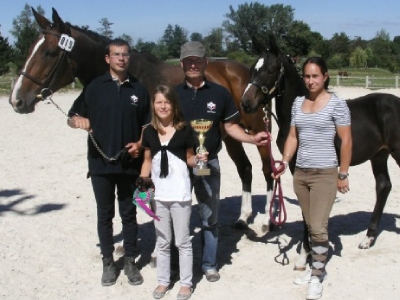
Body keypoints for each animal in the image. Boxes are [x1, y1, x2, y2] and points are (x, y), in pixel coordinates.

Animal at [7, 8, 274, 231]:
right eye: (30, 49)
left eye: (50, 52)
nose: (16, 99)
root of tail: (246, 73)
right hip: (230, 135)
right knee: (245, 169)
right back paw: (243, 218)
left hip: (258, 131)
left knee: (268, 169)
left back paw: (267, 223)